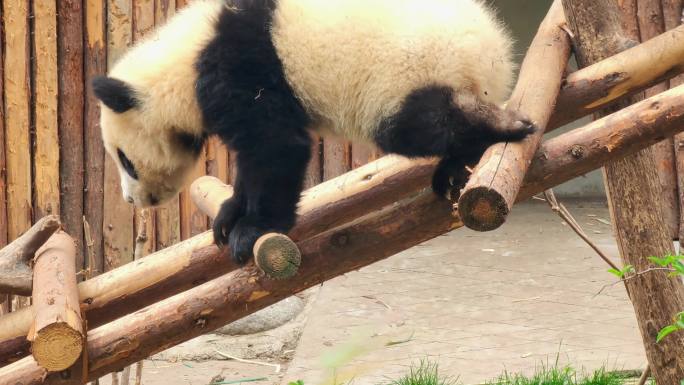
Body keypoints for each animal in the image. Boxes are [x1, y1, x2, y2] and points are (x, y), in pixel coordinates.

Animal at [93, 0, 536, 264]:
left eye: (126, 161)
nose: (132, 199)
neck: (180, 64)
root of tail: (495, 50)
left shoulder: (239, 66)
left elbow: (277, 147)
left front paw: (252, 231)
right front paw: (229, 214)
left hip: (407, 74)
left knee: (423, 125)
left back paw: (502, 128)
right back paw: (455, 170)